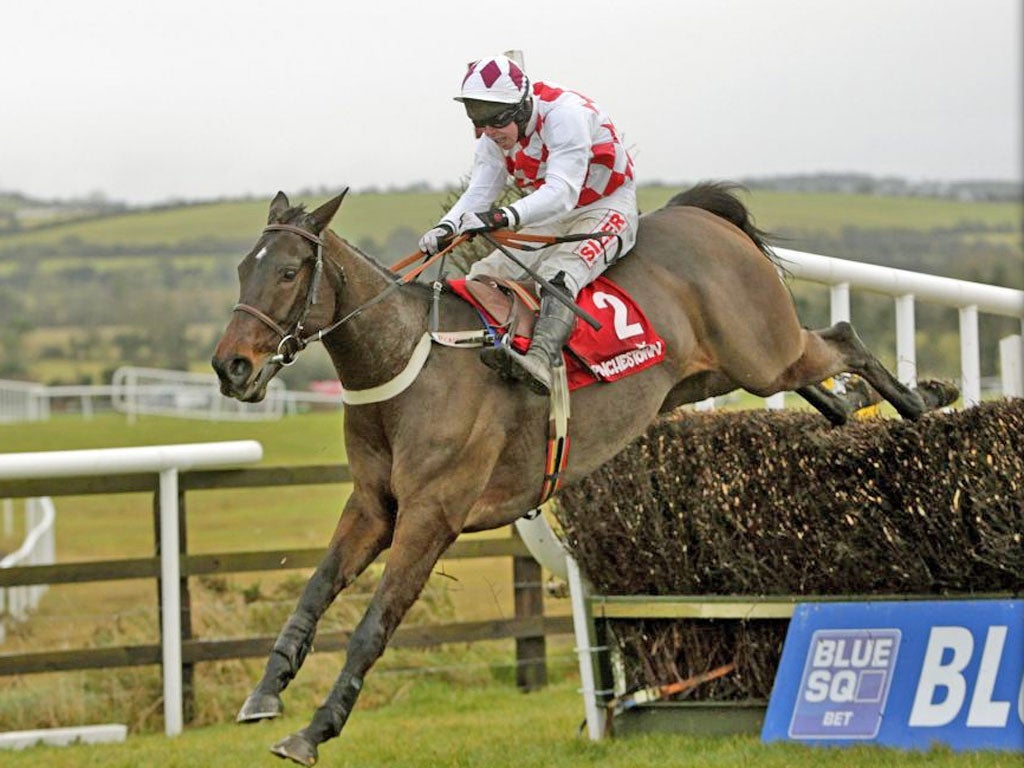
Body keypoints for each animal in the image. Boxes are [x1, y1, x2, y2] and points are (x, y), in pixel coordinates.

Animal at [211, 182, 954, 765]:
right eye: (243, 270)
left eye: (288, 271)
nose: (230, 367)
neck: (411, 362)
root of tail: (703, 217)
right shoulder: (374, 506)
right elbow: (313, 593)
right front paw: (265, 693)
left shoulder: (432, 515)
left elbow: (373, 625)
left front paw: (314, 731)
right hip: (718, 372)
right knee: (821, 380)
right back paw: (854, 405)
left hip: (762, 352)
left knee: (843, 337)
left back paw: (925, 399)